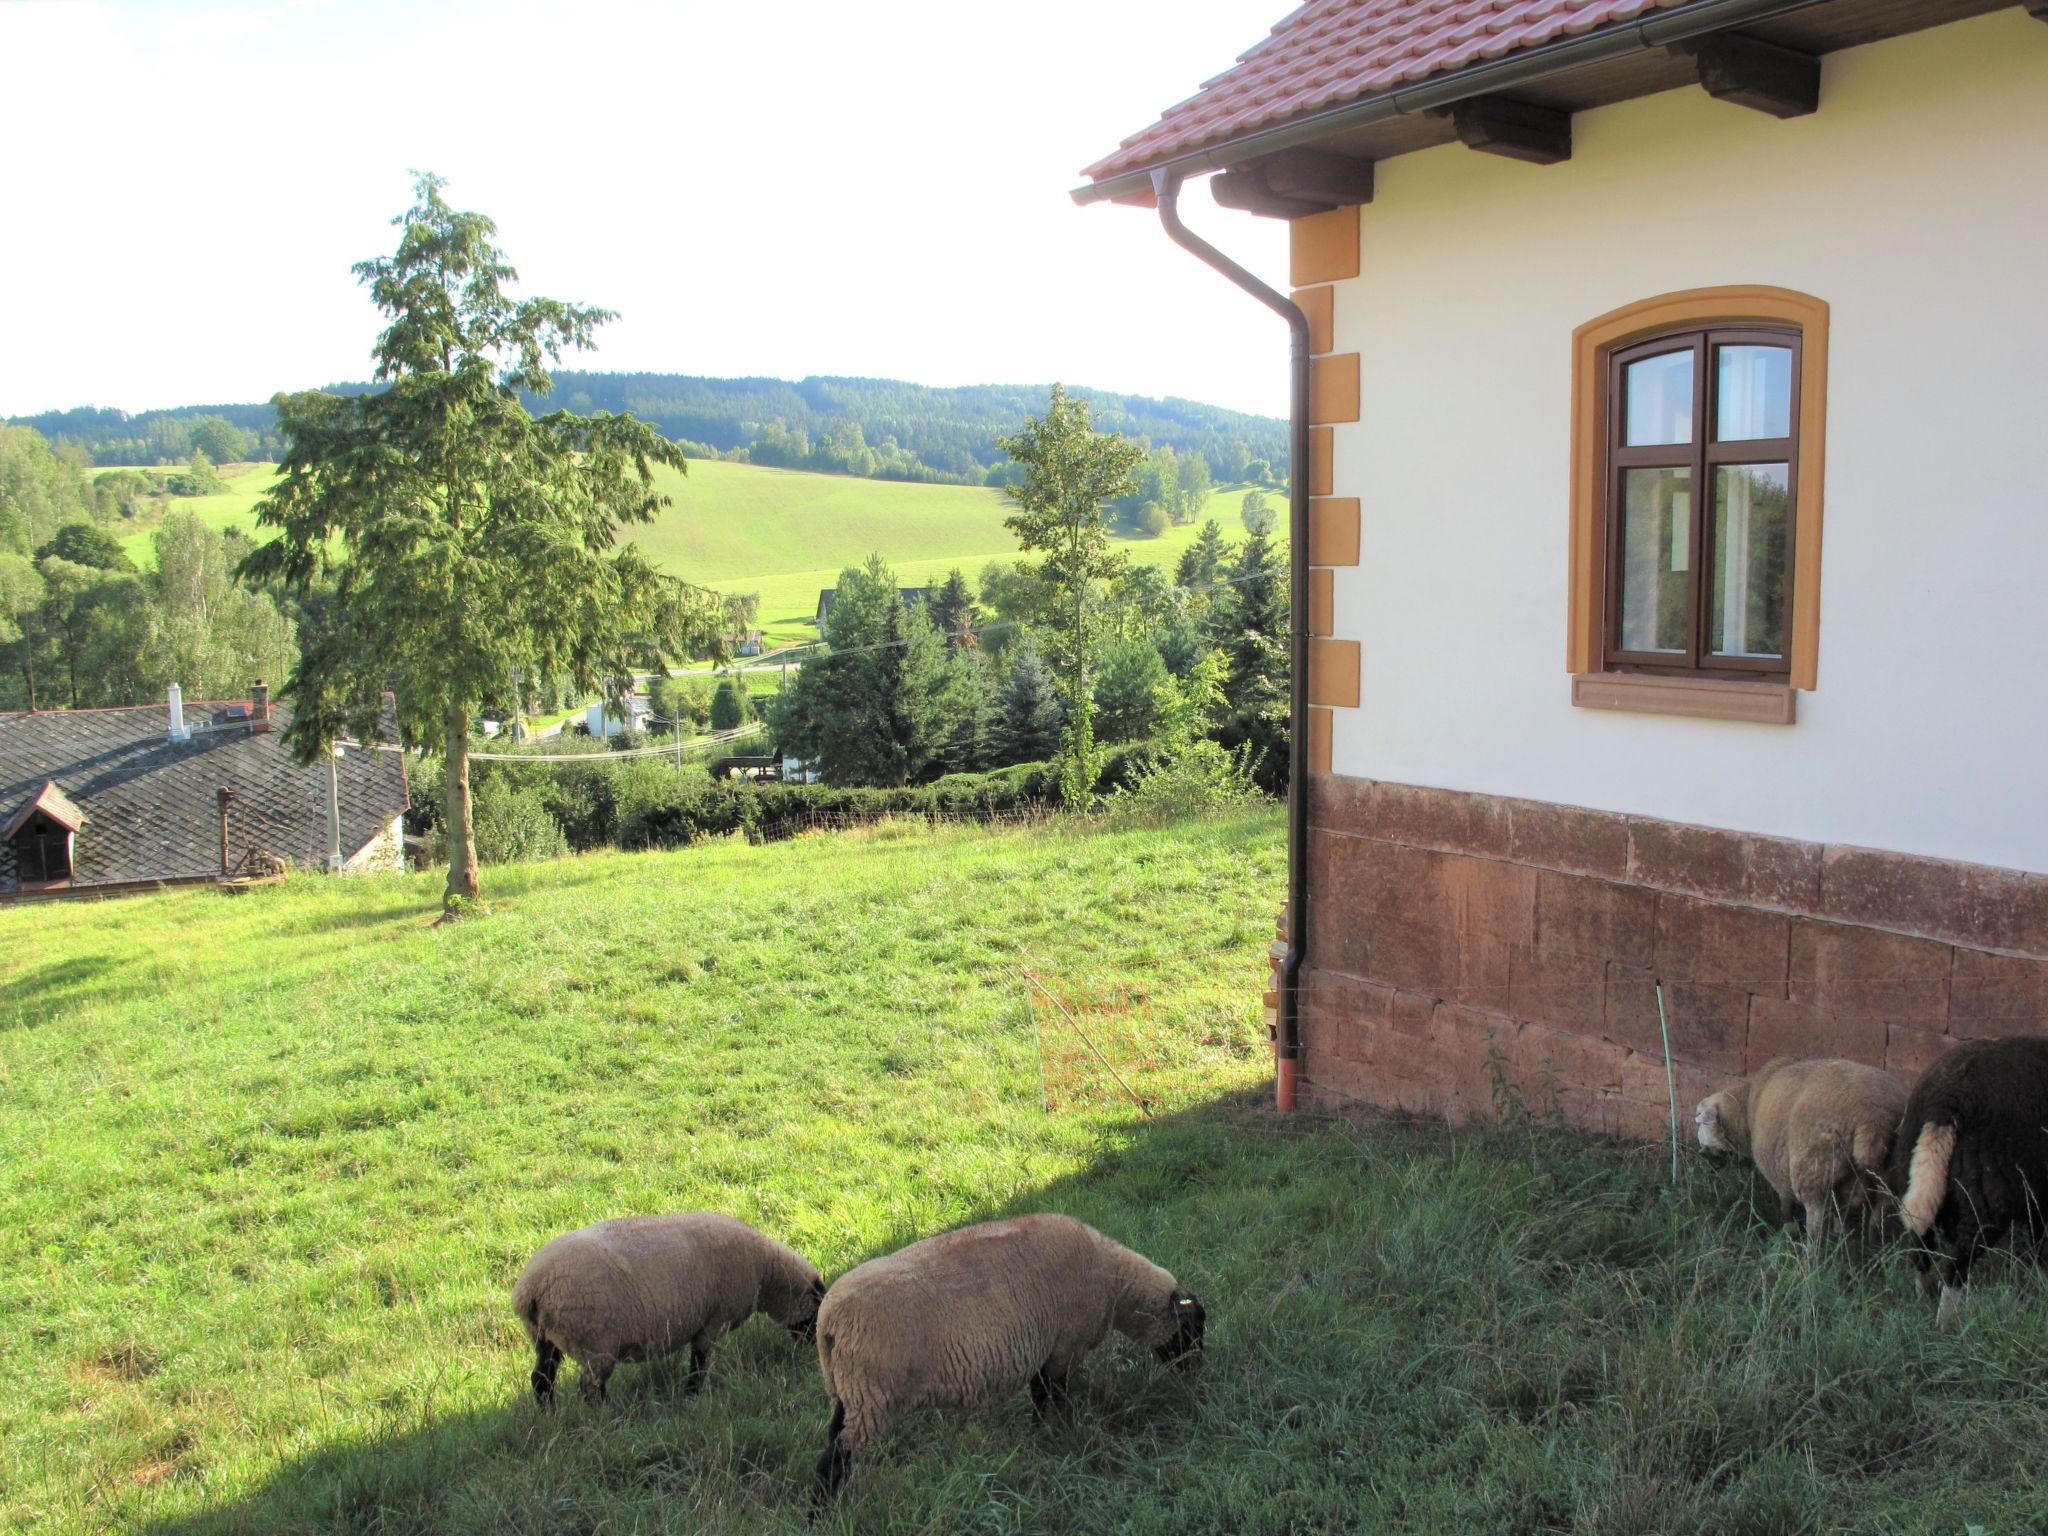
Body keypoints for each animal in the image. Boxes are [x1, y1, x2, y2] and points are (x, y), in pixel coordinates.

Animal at [512, 1212, 823, 1409]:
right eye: (815, 1317)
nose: (813, 1349)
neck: (765, 1272)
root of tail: (532, 1289)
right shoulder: (713, 1321)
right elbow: (699, 1361)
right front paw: (693, 1394)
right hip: (595, 1342)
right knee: (590, 1389)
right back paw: (609, 1417)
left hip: (546, 1339)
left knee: (541, 1380)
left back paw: (549, 1415)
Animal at [811, 1212, 1196, 1507]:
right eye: (1193, 1327)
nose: (1194, 1373)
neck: (1114, 1282)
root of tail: (828, 1320)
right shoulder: (1064, 1348)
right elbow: (1057, 1396)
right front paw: (1062, 1432)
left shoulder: (1047, 1350)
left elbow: (1040, 1395)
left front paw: (1039, 1432)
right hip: (873, 1396)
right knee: (835, 1456)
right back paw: (822, 1510)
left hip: (845, 1391)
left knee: (834, 1439)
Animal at [1687, 1056, 1908, 1236]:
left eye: (1699, 1119)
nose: (1700, 1151)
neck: (1746, 1110)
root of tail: (1875, 1118)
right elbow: (1840, 1214)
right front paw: (1840, 1232)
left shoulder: (1777, 1168)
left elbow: (1786, 1203)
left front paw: (1784, 1223)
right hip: (1888, 1176)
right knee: (1878, 1215)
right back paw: (1872, 1247)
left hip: (1813, 1167)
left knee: (1816, 1220)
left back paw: (1812, 1256)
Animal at [1884, 1040, 2048, 1327]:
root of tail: (1944, 1104)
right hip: (1987, 1199)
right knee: (1957, 1264)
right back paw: (1947, 1322)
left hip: (1911, 1174)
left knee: (1920, 1244)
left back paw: (1923, 1297)